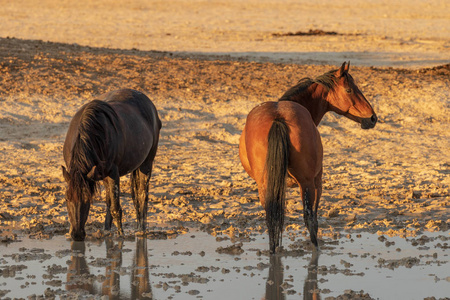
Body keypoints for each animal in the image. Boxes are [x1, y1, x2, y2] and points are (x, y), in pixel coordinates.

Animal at [61, 88, 162, 240]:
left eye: (88, 199)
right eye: (67, 199)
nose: (77, 234)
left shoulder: (113, 173)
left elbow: (116, 207)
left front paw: (121, 235)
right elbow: (109, 202)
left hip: (146, 164)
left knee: (142, 196)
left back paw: (141, 229)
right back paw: (107, 229)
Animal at [241, 61, 378, 253]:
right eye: (349, 89)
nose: (372, 118)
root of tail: (278, 118)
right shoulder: (317, 181)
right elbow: (314, 217)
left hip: (266, 185)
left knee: (272, 219)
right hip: (307, 183)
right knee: (308, 218)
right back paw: (316, 248)